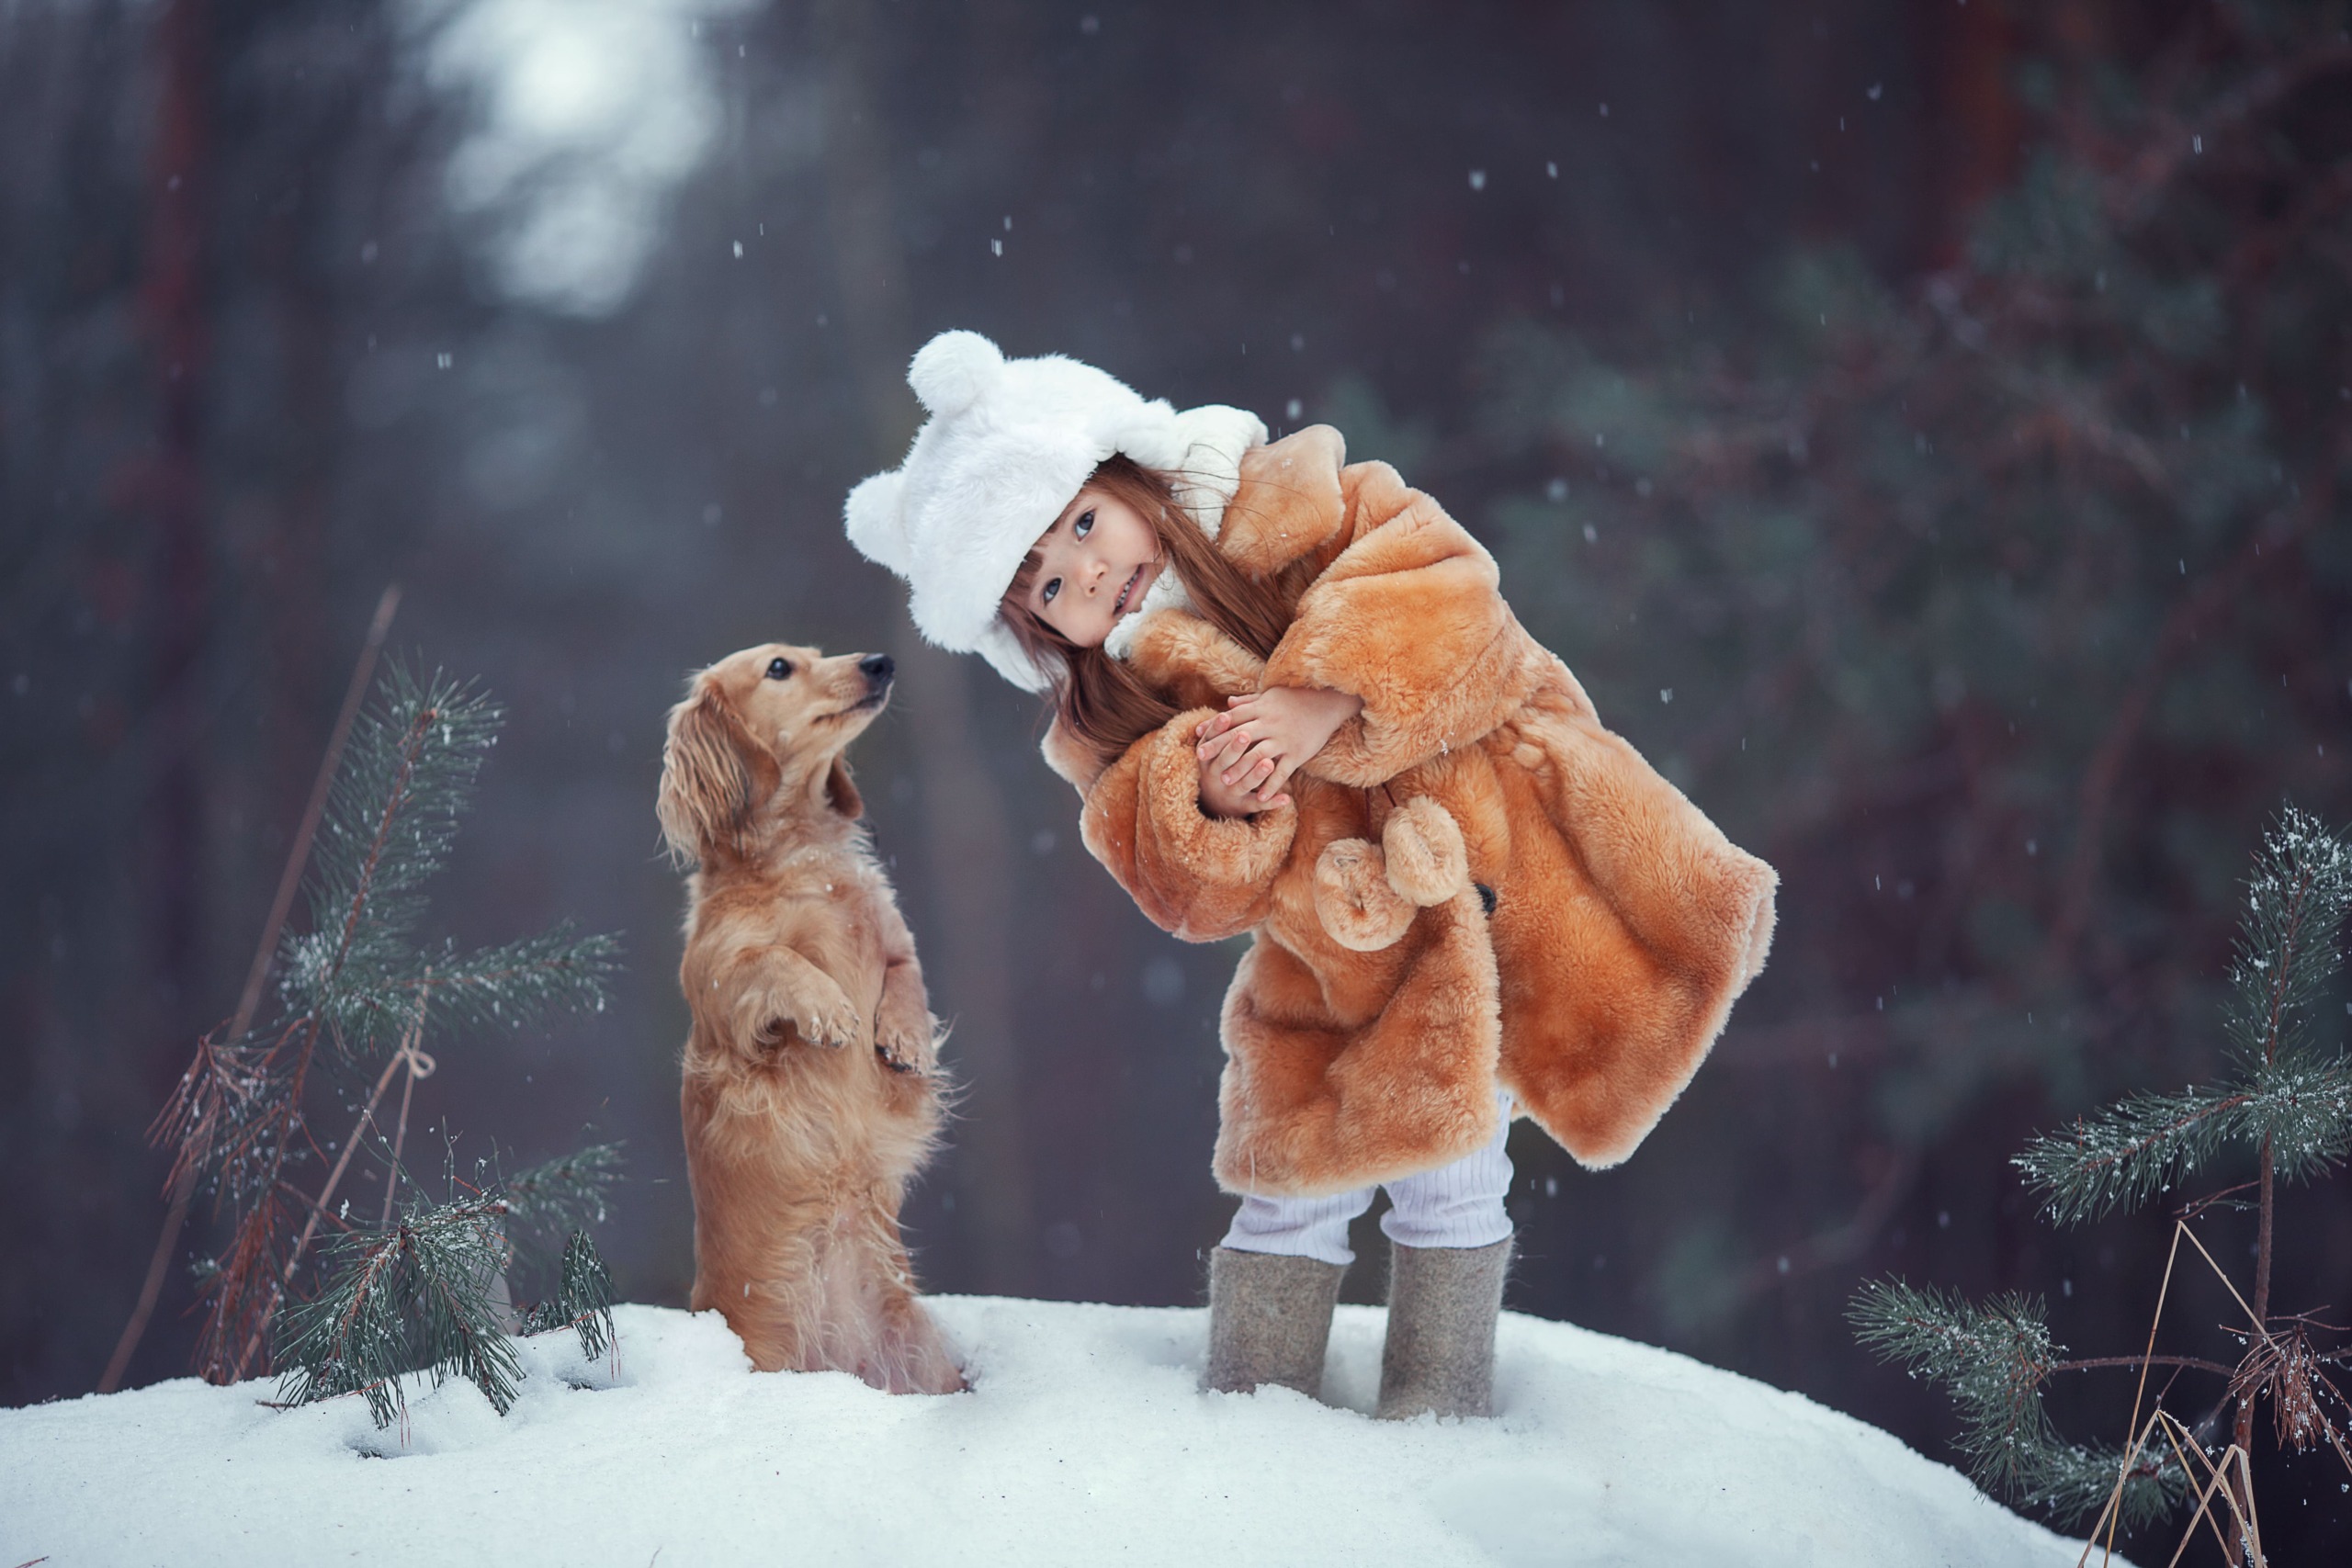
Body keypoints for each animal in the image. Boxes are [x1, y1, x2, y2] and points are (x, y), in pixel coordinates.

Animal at [653, 639, 964, 1401]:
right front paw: (828, 1008)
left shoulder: (895, 939)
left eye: (817, 654)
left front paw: (902, 1038)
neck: (806, 858)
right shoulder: (722, 979)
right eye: (778, 668)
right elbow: (777, 960)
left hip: (925, 1355)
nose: (880, 662)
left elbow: (906, 980)